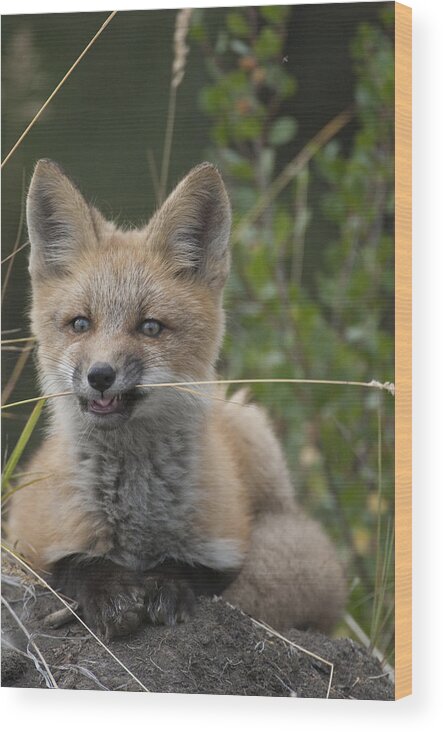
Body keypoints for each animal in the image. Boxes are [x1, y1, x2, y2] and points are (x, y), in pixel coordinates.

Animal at [6, 162, 346, 640]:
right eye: (80, 324)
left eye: (150, 327)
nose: (100, 375)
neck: (135, 519)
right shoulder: (32, 543)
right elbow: (74, 566)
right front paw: (109, 594)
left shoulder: (225, 543)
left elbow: (195, 570)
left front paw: (165, 586)